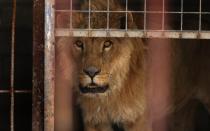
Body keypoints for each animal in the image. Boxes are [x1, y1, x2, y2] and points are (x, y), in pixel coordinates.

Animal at [55, 0, 210, 131]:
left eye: (107, 44)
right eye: (79, 43)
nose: (91, 72)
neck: (111, 94)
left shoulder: (138, 119)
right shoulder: (94, 121)